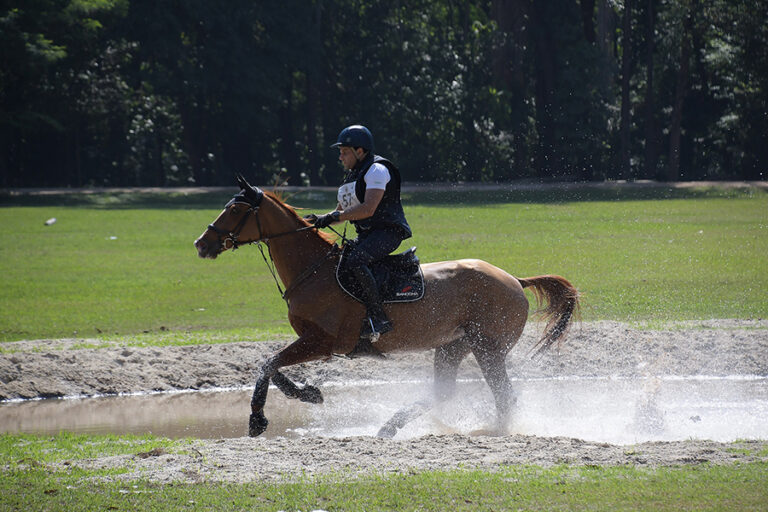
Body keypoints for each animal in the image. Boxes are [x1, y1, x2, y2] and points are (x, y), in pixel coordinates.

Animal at [195, 178, 580, 438]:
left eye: (234, 209)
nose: (201, 243)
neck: (313, 270)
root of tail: (514, 280)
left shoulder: (321, 343)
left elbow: (268, 364)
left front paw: (259, 418)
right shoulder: (311, 342)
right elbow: (272, 366)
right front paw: (308, 393)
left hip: (487, 347)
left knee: (503, 395)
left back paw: (493, 432)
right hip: (455, 345)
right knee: (447, 391)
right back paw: (390, 426)